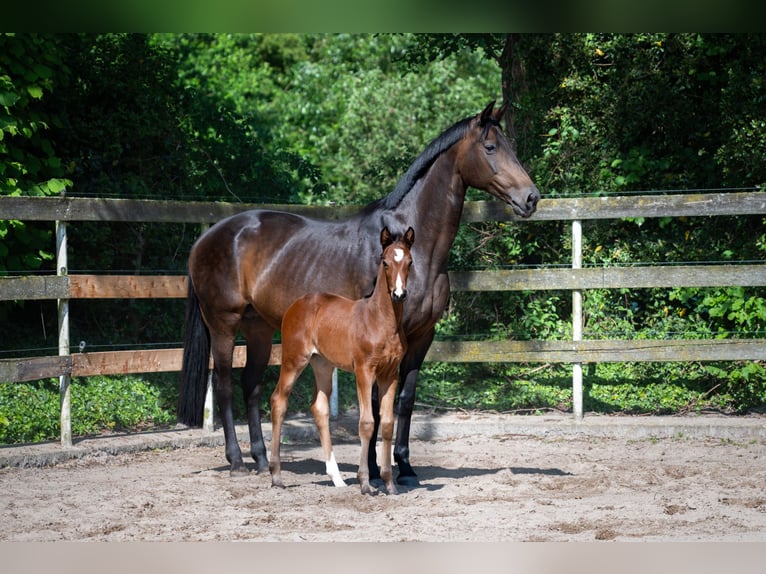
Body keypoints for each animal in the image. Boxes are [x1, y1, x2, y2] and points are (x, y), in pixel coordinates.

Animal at [269, 226, 414, 495]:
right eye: (385, 262)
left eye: (410, 262)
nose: (399, 294)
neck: (380, 321)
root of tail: (296, 304)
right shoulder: (364, 371)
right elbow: (367, 423)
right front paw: (366, 483)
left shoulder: (390, 374)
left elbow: (387, 424)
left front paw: (389, 484)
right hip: (294, 360)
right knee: (278, 401)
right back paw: (276, 476)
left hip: (323, 365)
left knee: (319, 408)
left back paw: (336, 477)